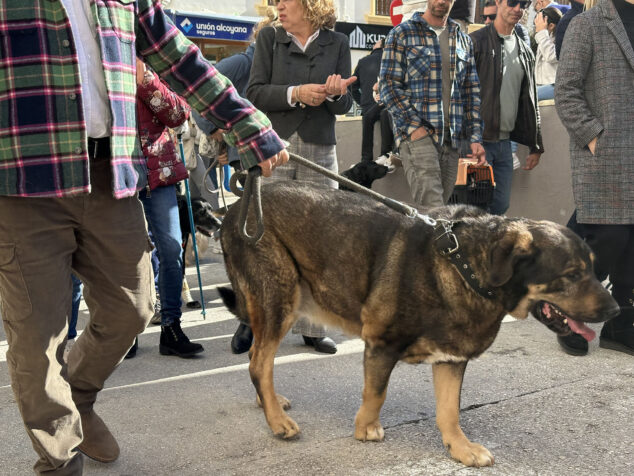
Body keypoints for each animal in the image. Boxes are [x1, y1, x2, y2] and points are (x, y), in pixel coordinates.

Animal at [218, 180, 616, 466]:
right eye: (571, 274)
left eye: (593, 269)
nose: (615, 310)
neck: (468, 268)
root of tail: (237, 206)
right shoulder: (381, 344)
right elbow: (376, 393)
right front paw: (366, 428)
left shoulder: (452, 359)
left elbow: (450, 411)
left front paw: (459, 447)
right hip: (279, 300)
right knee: (259, 362)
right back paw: (275, 421)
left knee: (258, 359)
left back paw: (268, 402)